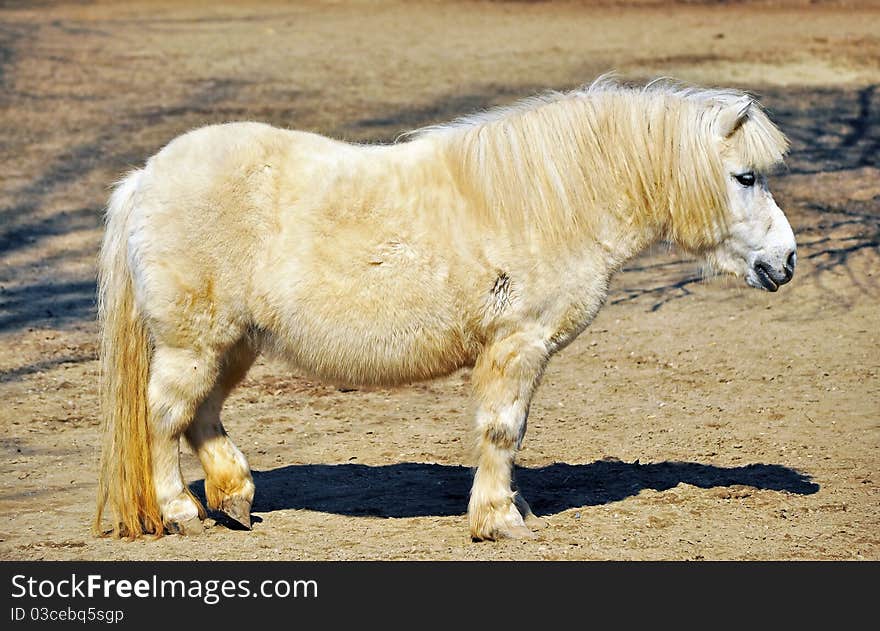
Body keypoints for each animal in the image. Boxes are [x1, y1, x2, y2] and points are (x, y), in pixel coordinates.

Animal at [96, 79, 796, 540]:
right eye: (745, 178)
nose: (786, 260)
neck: (552, 199)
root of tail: (145, 178)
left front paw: (505, 509)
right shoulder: (518, 344)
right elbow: (503, 429)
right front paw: (499, 520)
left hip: (233, 342)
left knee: (200, 416)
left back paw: (236, 498)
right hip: (196, 342)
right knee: (163, 417)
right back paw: (180, 513)